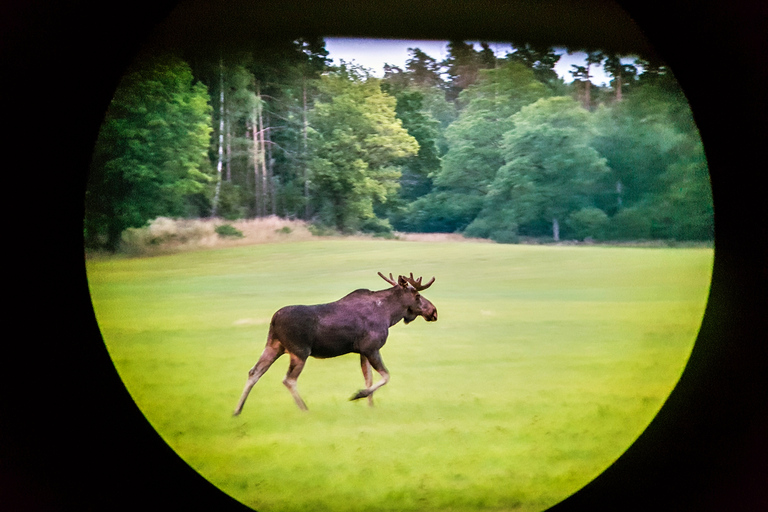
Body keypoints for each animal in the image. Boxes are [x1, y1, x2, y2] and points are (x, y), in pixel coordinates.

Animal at [232, 272, 438, 412]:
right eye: (417, 296)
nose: (434, 311)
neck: (389, 315)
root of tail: (274, 319)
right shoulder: (371, 347)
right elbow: (385, 376)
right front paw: (358, 395)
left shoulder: (362, 351)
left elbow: (369, 378)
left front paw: (370, 406)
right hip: (299, 351)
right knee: (288, 379)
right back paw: (304, 409)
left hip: (274, 345)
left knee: (254, 372)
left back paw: (237, 410)